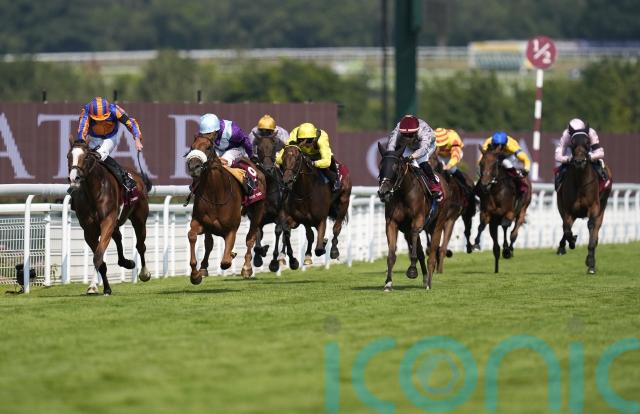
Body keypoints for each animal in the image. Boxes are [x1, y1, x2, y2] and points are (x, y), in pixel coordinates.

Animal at [67, 138, 152, 295]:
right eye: (69, 156)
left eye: (86, 157)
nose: (74, 178)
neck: (94, 192)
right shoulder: (89, 231)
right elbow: (100, 260)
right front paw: (105, 288)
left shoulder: (107, 221)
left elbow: (98, 256)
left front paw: (92, 286)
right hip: (116, 222)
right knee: (118, 237)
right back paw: (126, 262)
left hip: (139, 218)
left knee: (140, 245)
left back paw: (144, 273)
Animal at [185, 134, 266, 283]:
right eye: (192, 147)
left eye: (208, 147)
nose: (194, 166)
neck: (216, 194)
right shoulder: (201, 223)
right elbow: (192, 236)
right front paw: (196, 274)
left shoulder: (231, 229)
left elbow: (225, 262)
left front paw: (232, 256)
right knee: (209, 243)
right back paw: (204, 268)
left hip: (258, 209)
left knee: (250, 238)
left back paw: (246, 268)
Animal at [252, 135, 295, 271]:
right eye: (259, 148)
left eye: (273, 147)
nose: (268, 169)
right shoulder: (256, 216)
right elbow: (257, 234)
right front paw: (259, 255)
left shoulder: (280, 214)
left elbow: (278, 231)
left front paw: (274, 261)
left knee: (286, 232)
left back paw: (285, 257)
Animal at [377, 143, 448, 291]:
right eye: (380, 166)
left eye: (395, 167)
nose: (383, 192)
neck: (403, 193)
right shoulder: (392, 223)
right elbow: (391, 254)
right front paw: (388, 283)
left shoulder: (417, 221)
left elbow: (416, 244)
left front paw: (412, 270)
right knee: (421, 251)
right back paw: (425, 279)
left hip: (437, 225)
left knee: (431, 254)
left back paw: (429, 282)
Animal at [556, 132, 612, 274]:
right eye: (572, 143)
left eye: (588, 143)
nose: (579, 162)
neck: (580, 182)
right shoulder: (567, 210)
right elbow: (567, 229)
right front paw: (571, 241)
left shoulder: (594, 207)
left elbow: (591, 227)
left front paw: (591, 263)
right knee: (566, 227)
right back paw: (562, 246)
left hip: (602, 206)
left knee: (595, 228)